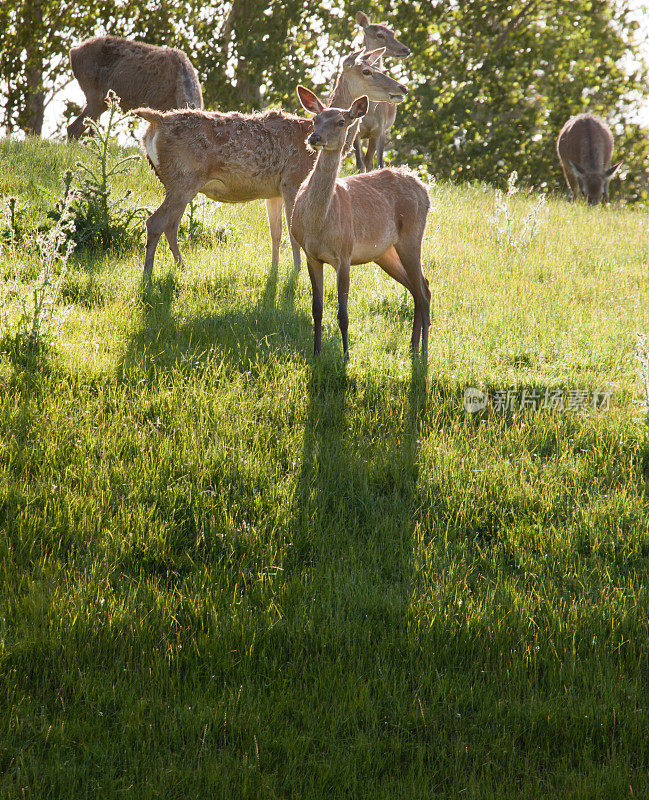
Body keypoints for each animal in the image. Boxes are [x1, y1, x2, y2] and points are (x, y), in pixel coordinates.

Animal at [132, 50, 404, 280]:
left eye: (378, 66)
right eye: (367, 71)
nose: (401, 88)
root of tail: (156, 121)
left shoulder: (272, 191)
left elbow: (276, 233)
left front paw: (274, 270)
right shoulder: (292, 180)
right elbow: (292, 234)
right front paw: (297, 272)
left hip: (178, 182)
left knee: (171, 224)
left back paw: (181, 267)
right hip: (184, 177)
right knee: (156, 222)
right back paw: (147, 276)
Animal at [288, 86, 430, 360]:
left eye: (341, 121)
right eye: (315, 119)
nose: (314, 138)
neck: (318, 224)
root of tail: (424, 188)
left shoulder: (344, 254)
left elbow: (343, 313)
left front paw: (345, 356)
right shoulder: (311, 255)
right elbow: (316, 309)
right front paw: (316, 352)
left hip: (412, 236)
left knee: (423, 290)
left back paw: (423, 350)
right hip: (385, 252)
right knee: (419, 287)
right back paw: (413, 347)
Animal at [352, 10, 408, 173]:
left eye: (393, 33)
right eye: (380, 35)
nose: (406, 50)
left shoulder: (381, 129)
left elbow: (379, 163)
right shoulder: (357, 130)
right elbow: (359, 163)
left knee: (370, 160)